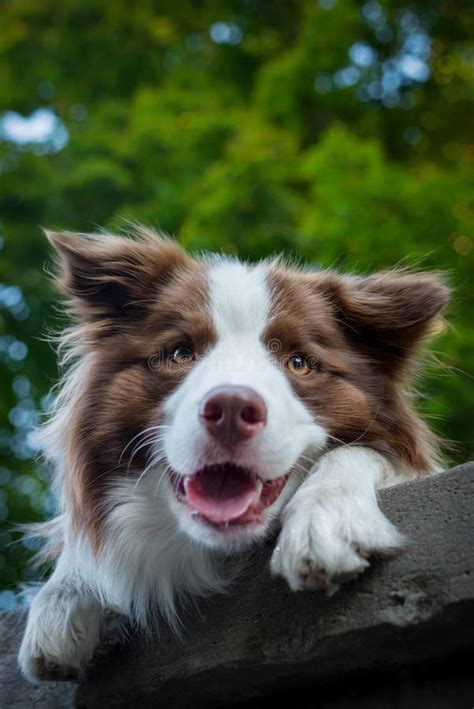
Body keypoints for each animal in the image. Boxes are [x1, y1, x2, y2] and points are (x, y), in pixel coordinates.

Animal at [17, 227, 448, 680]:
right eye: (180, 353)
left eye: (299, 362)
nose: (230, 410)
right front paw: (65, 594)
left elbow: (360, 456)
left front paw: (326, 524)